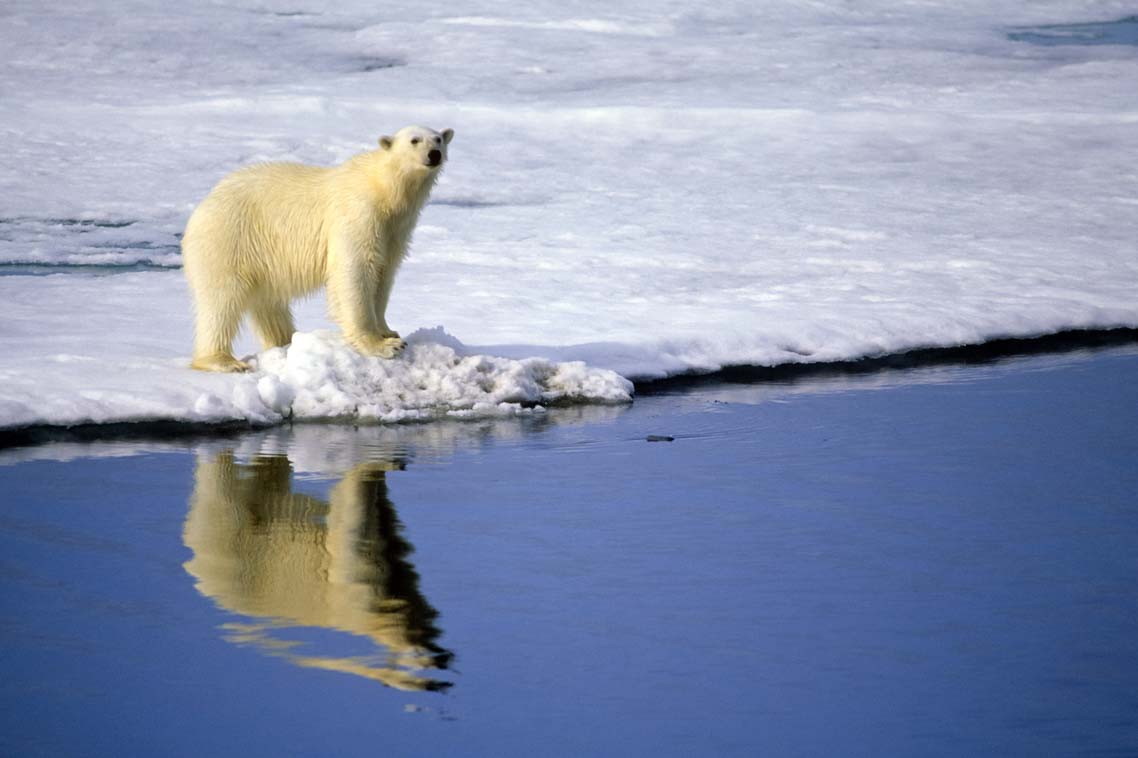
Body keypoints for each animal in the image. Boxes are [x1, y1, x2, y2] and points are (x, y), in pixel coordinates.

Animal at [182, 125, 452, 371]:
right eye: (414, 140)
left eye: (438, 139)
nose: (434, 154)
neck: (385, 189)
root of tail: (200, 209)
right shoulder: (359, 213)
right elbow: (355, 271)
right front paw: (383, 346)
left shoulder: (396, 230)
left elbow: (384, 274)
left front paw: (389, 331)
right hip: (227, 240)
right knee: (221, 300)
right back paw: (223, 360)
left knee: (268, 304)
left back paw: (286, 340)